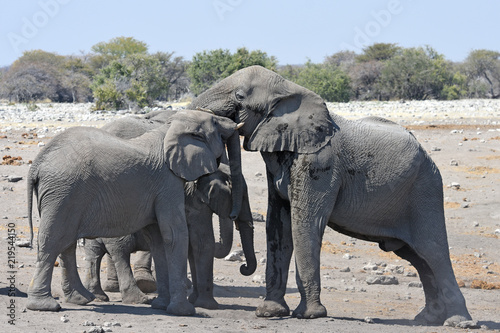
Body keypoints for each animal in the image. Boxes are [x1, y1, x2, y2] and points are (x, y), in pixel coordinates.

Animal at [26, 109, 242, 314]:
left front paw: (160, 306)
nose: (233, 123)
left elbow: (158, 239)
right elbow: (174, 234)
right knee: (53, 241)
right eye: (215, 123)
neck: (169, 128)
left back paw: (81, 299)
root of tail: (37, 163)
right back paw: (45, 306)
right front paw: (184, 311)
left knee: (67, 243)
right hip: (63, 192)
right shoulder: (168, 182)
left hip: (63, 195)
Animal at [188, 65, 472, 326]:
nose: (243, 268)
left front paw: (308, 315)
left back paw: (459, 322)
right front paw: (270, 312)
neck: (290, 89)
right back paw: (427, 319)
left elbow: (304, 225)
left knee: (433, 252)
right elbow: (278, 226)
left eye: (239, 96)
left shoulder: (319, 162)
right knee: (417, 257)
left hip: (426, 190)